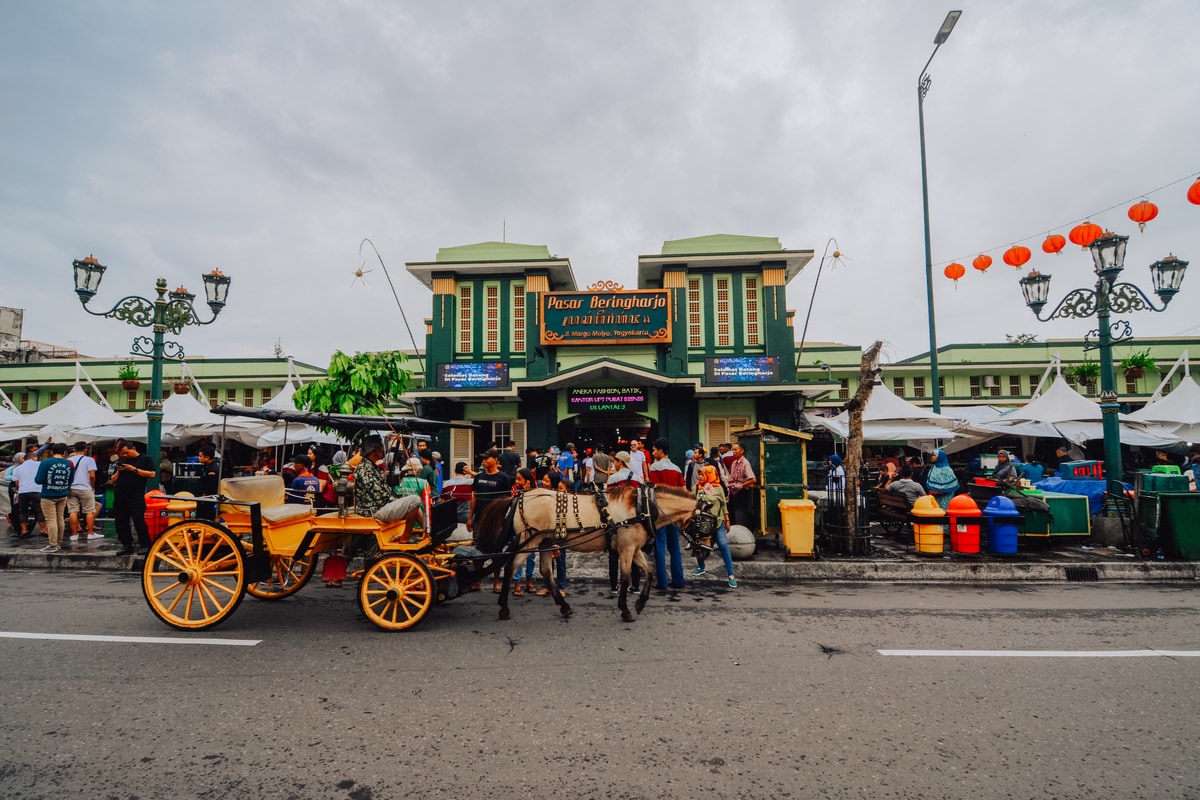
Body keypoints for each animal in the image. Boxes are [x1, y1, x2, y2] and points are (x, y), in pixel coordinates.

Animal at [472, 484, 700, 623]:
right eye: (705, 520)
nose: (702, 551)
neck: (641, 507)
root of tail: (518, 497)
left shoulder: (633, 548)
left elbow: (650, 571)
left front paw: (640, 603)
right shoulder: (626, 549)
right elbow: (626, 578)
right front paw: (625, 610)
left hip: (545, 541)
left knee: (546, 571)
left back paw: (564, 607)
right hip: (529, 540)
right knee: (511, 567)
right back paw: (503, 608)